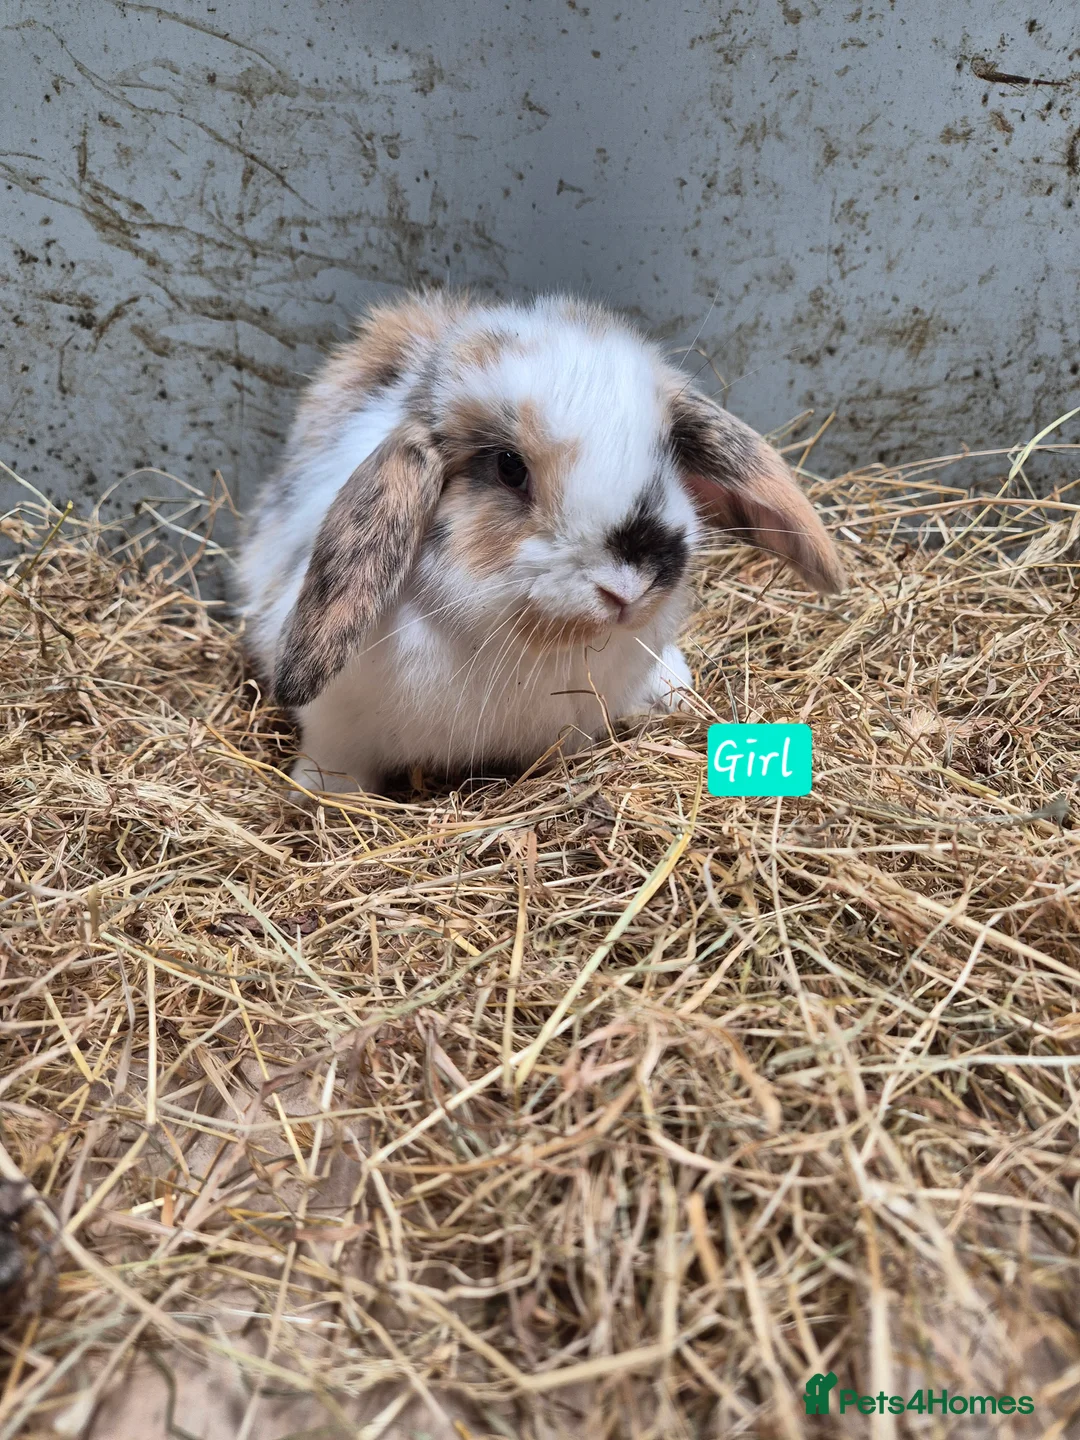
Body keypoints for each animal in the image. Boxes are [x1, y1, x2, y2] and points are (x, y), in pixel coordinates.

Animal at [238, 290, 845, 795]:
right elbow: (336, 764)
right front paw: (313, 798)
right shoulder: (338, 726)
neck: (530, 646)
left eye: (667, 453)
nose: (628, 588)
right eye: (510, 467)